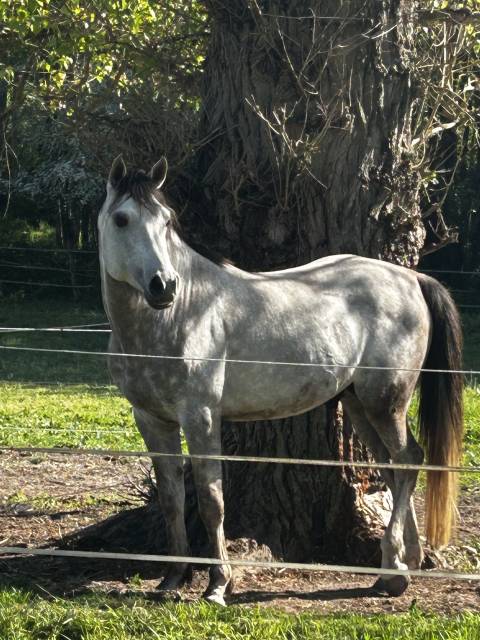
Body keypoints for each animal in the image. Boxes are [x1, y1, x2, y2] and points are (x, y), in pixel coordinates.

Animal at [98, 156, 463, 606]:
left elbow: (211, 501)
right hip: (358, 404)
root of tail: (410, 279)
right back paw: (398, 567)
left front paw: (218, 584)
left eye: (166, 220)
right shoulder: (151, 419)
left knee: (409, 459)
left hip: (385, 401)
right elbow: (171, 500)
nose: (163, 286)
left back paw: (394, 569)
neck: (181, 314)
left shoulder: (201, 416)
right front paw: (173, 579)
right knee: (393, 468)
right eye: (122, 219)